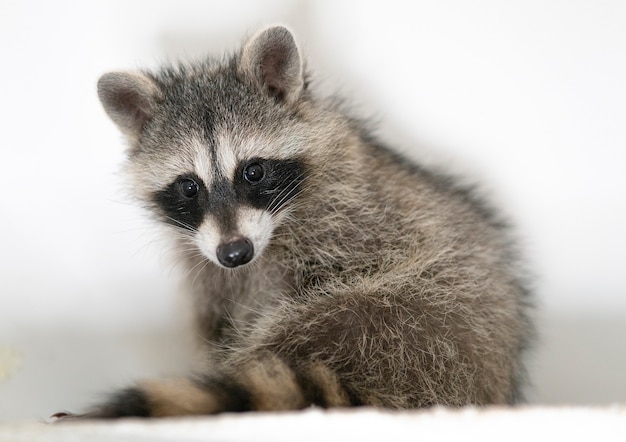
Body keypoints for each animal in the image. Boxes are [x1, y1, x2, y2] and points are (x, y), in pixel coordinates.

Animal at [63, 25, 532, 416]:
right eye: (189, 187)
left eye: (253, 171)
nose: (235, 253)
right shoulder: (207, 264)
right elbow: (219, 315)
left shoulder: (353, 217)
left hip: (415, 313)